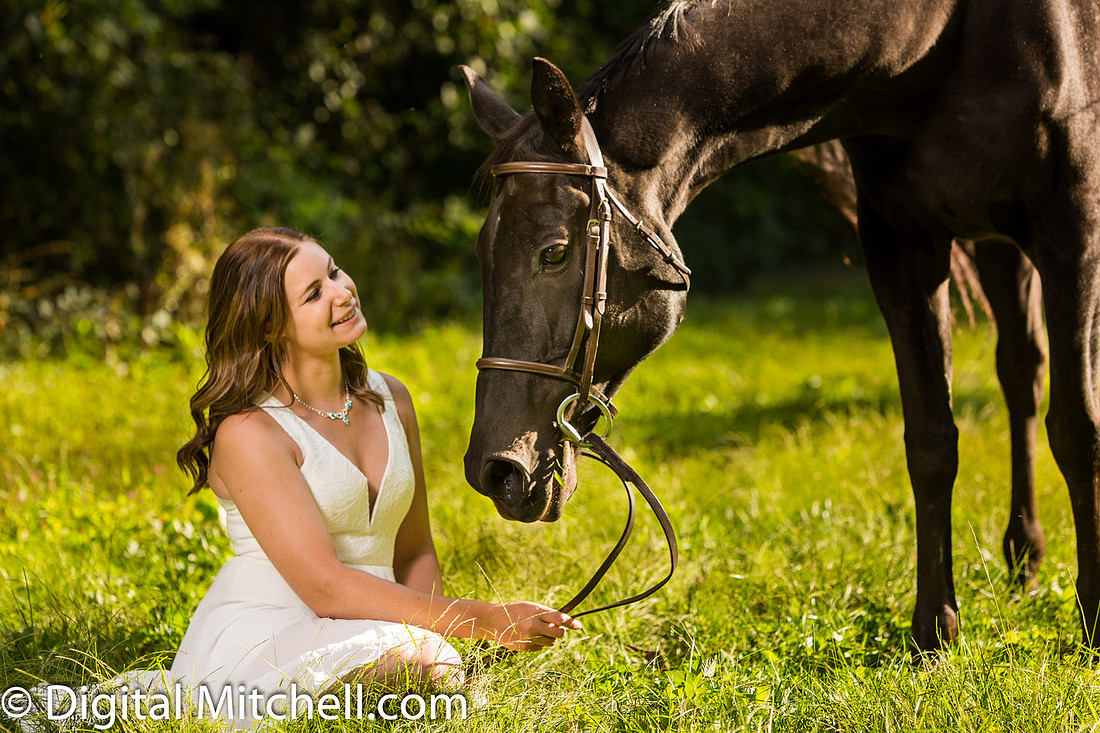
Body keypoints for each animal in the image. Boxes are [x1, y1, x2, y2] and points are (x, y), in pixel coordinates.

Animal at [459, 0, 1100, 653]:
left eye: (555, 253)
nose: (495, 471)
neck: (938, 37)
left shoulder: (1072, 236)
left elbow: (1078, 432)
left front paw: (1093, 613)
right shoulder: (902, 252)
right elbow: (930, 440)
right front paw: (933, 629)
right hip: (995, 246)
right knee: (1021, 373)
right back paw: (1023, 557)